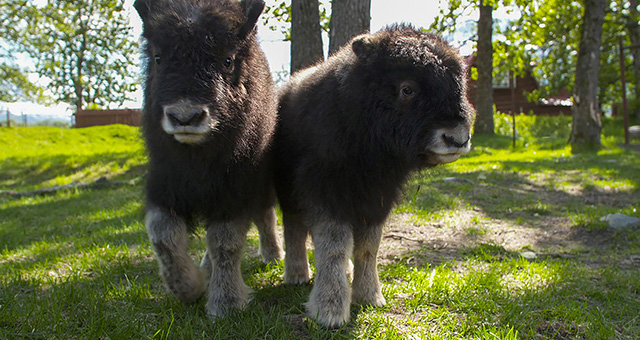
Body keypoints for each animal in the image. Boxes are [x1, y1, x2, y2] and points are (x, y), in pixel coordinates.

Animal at [134, 0, 282, 318]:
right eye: (158, 57)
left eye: (227, 60)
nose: (185, 117)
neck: (197, 159)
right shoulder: (164, 186)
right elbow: (162, 236)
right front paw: (189, 288)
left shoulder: (234, 191)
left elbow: (225, 242)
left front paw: (225, 304)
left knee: (265, 216)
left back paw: (273, 256)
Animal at [276, 23, 476, 326]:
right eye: (407, 89)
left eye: (459, 85)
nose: (457, 138)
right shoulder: (327, 193)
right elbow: (334, 246)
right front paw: (330, 310)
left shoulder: (377, 199)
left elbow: (369, 247)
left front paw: (370, 296)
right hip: (287, 192)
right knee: (294, 230)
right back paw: (298, 274)